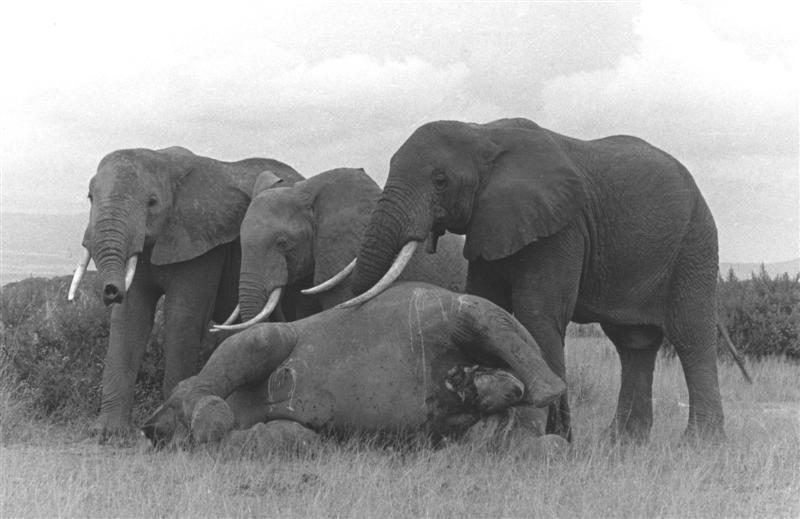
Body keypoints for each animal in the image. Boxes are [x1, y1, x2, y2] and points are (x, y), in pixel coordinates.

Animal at [68, 146, 303, 439]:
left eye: (152, 202)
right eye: (90, 197)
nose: (110, 291)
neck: (164, 162)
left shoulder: (203, 243)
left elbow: (182, 317)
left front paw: (171, 429)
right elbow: (129, 319)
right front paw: (106, 434)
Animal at [142, 282, 567, 456]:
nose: (509, 390)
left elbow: (546, 445)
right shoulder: (447, 313)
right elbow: (491, 319)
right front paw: (547, 389)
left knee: (284, 437)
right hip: (270, 339)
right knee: (218, 374)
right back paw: (206, 414)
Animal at [336, 118, 727, 442]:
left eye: (440, 181)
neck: (483, 132)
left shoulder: (562, 228)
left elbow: (537, 315)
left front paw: (551, 437)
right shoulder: (490, 223)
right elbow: (486, 300)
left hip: (695, 242)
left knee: (690, 335)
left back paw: (699, 444)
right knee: (633, 343)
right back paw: (621, 443)